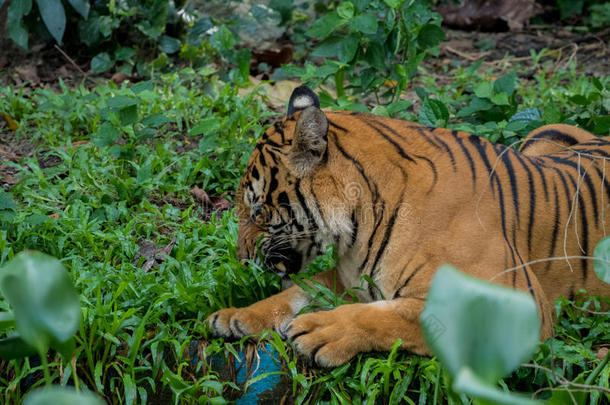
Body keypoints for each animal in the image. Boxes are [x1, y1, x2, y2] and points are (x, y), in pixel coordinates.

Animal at [207, 85, 608, 366]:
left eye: (258, 210)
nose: (241, 258)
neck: (357, 227)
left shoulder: (515, 306)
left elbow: (401, 316)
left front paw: (321, 329)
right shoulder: (349, 279)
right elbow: (299, 292)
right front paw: (235, 317)